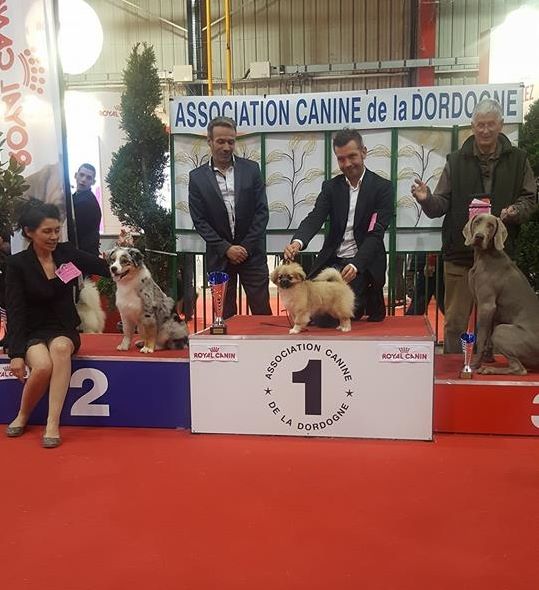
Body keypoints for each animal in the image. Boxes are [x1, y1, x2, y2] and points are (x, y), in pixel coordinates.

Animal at [463, 213, 539, 375]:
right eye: (477, 221)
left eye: (491, 225)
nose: (479, 236)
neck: (484, 256)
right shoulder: (490, 311)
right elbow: (487, 338)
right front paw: (485, 358)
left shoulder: (487, 305)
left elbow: (481, 336)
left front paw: (474, 364)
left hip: (502, 331)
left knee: (519, 369)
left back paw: (489, 370)